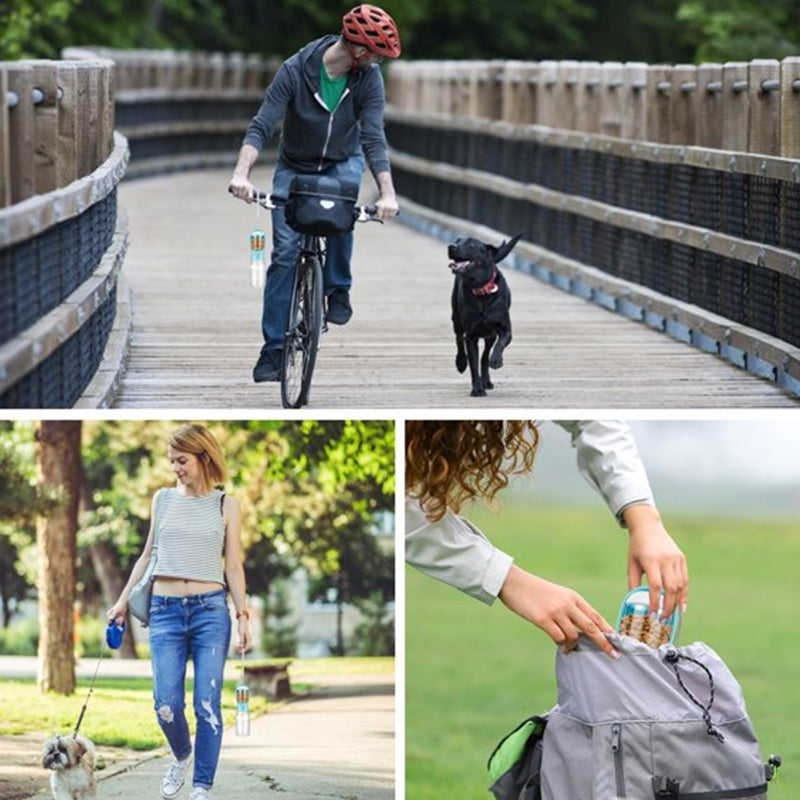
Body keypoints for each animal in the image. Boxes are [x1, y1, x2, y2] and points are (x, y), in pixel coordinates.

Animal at [446, 231, 520, 396]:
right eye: (457, 241)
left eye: (472, 244)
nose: (451, 246)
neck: (482, 291)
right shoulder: (471, 336)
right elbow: (473, 364)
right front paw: (476, 389)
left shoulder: (505, 329)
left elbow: (500, 344)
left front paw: (496, 360)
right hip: (456, 319)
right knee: (459, 339)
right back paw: (461, 363)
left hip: (489, 335)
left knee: (485, 357)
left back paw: (486, 380)